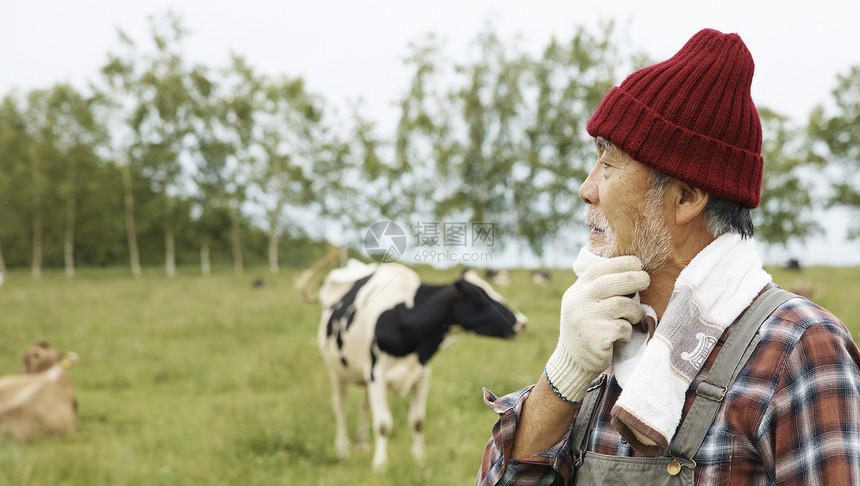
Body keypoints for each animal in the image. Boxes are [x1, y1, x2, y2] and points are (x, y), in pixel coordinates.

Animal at [310, 260, 524, 468]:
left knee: (363, 405)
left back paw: (361, 444)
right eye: (481, 299)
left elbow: (417, 421)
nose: (522, 321)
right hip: (336, 372)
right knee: (341, 407)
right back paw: (342, 448)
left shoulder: (421, 374)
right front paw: (380, 465)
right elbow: (383, 424)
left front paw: (419, 459)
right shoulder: (376, 374)